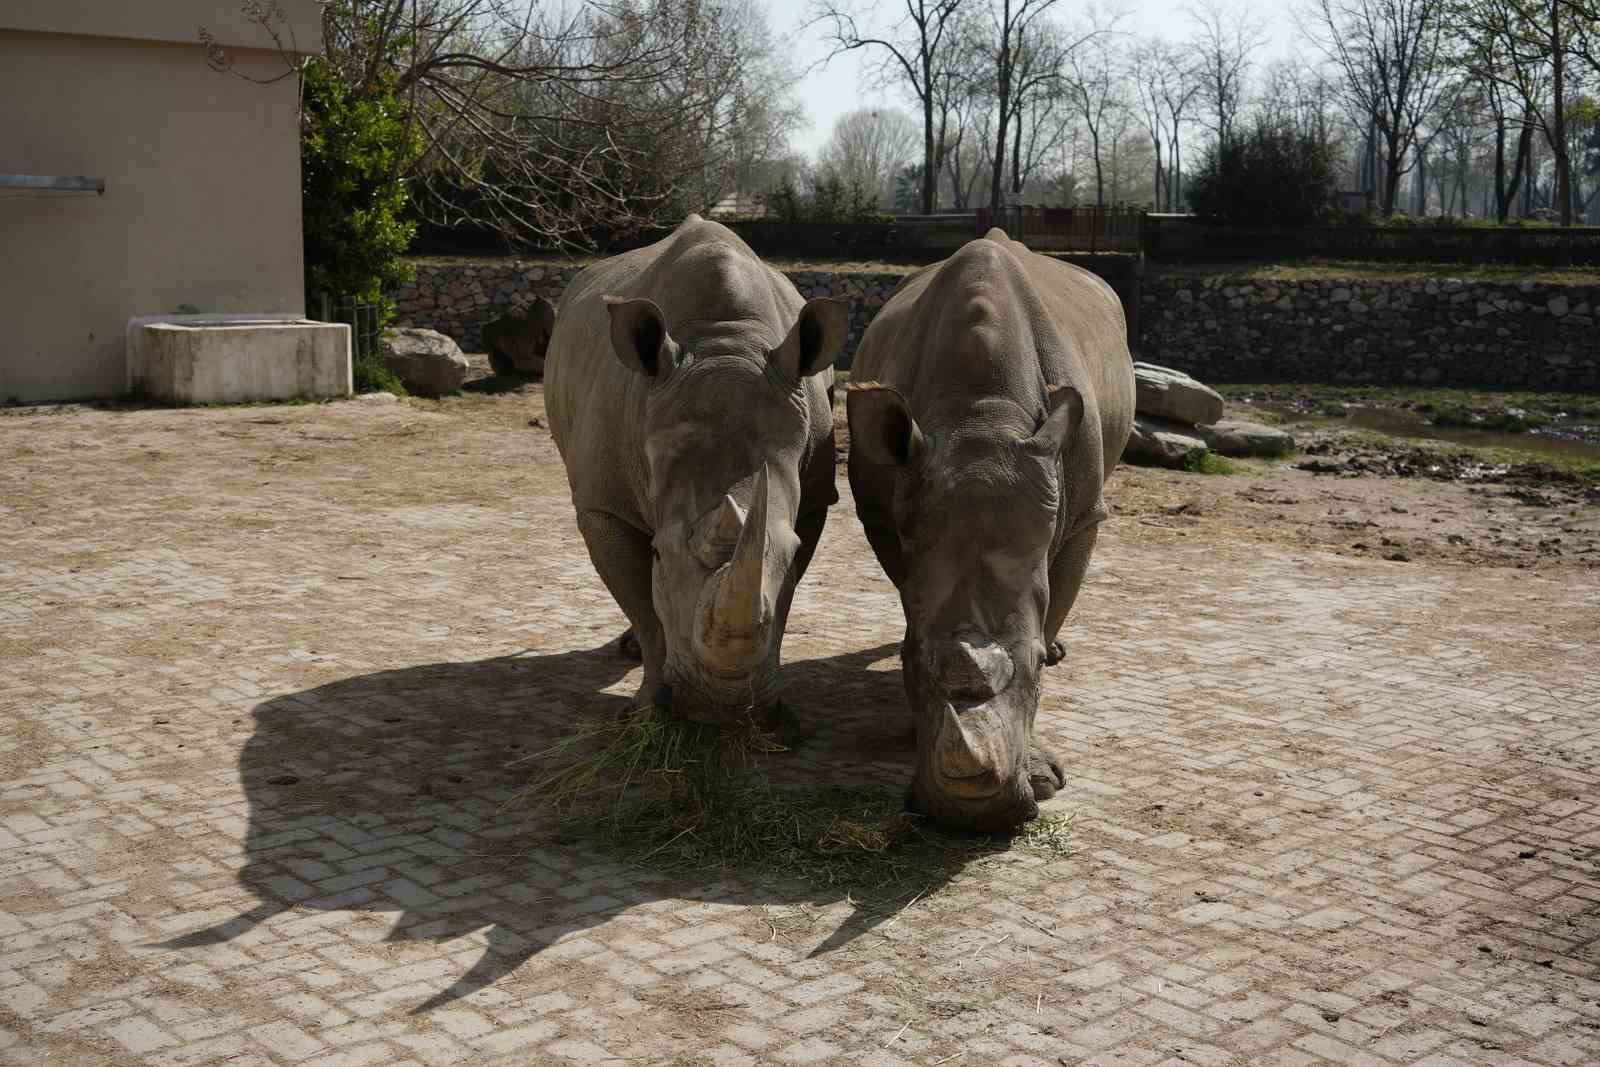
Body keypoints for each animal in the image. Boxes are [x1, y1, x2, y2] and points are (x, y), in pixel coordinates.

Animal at [544, 212, 851, 723]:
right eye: (659, 555)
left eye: (791, 552)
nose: (723, 710)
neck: (725, 343)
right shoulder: (602, 505)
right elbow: (645, 608)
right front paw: (649, 709)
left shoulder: (813, 501)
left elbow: (780, 595)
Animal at [851, 230, 1139, 831]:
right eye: (912, 666)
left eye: (1035, 671)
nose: (969, 819)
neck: (980, 418)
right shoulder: (889, 513)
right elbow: (914, 601)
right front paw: (917, 730)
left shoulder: (1081, 516)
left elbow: (1050, 610)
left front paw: (1042, 778)